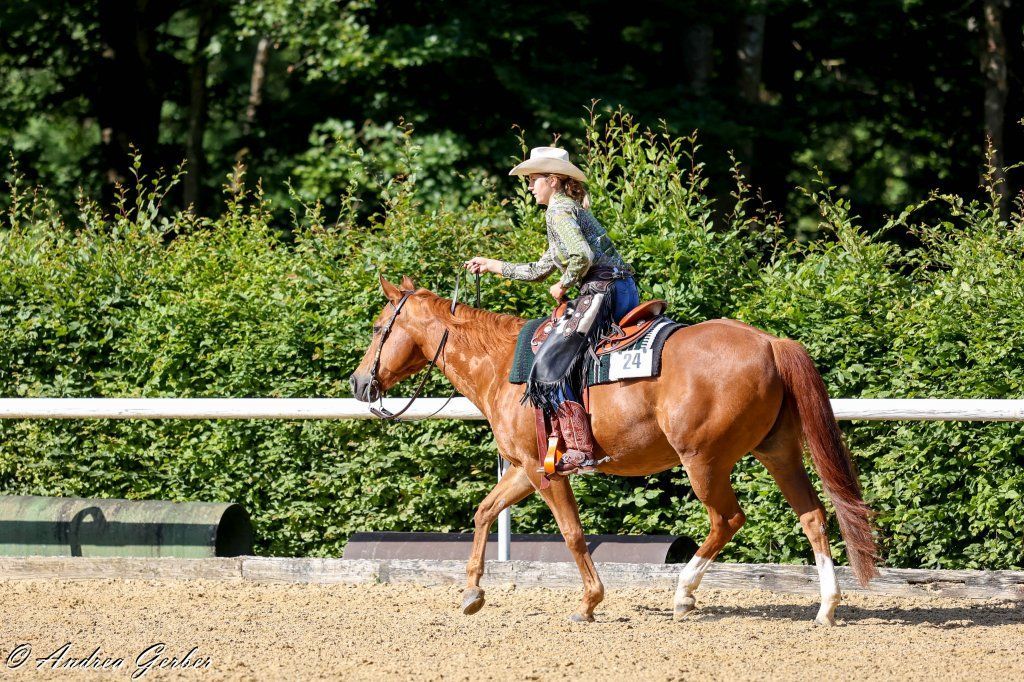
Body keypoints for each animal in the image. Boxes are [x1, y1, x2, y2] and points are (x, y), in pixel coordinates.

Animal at [349, 275, 879, 625]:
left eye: (378, 328)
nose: (358, 383)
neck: (502, 366)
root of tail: (769, 342)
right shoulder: (524, 468)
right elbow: (484, 512)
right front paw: (472, 593)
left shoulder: (545, 472)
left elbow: (573, 535)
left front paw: (589, 602)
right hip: (779, 452)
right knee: (813, 515)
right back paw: (826, 607)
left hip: (704, 461)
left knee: (727, 520)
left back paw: (684, 595)